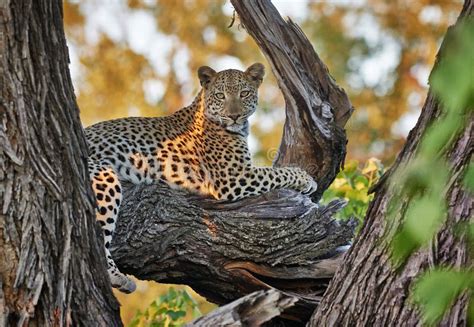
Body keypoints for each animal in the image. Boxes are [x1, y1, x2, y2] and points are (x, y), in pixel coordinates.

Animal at [86, 62, 318, 294]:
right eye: (220, 95)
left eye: (244, 93)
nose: (234, 116)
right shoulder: (234, 177)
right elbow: (277, 172)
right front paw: (307, 180)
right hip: (103, 174)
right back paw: (117, 276)